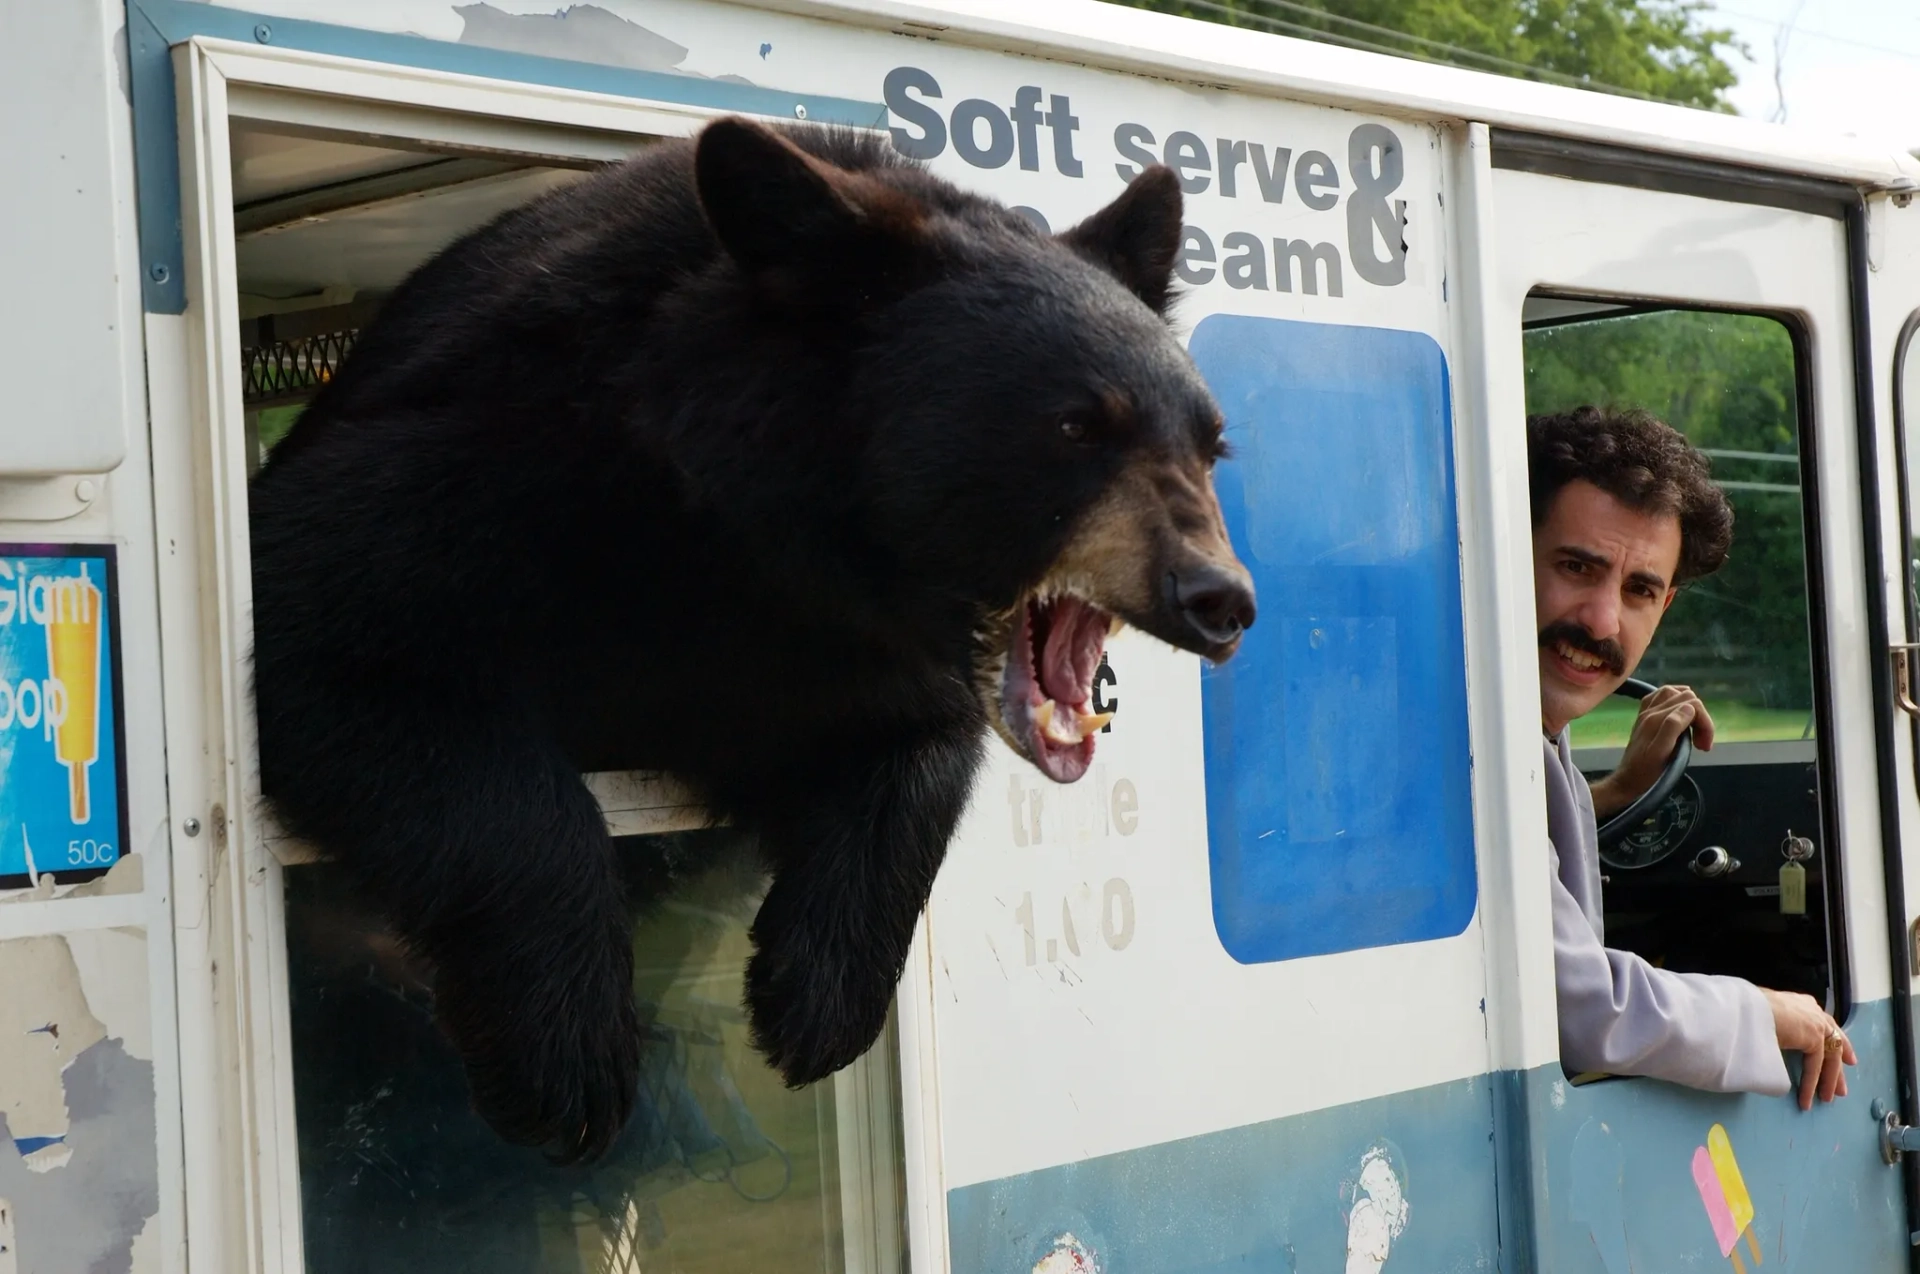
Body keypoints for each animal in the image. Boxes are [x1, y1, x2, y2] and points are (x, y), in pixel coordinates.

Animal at [247, 119, 1251, 1166]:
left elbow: (914, 752)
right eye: (1076, 424)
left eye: (1211, 443)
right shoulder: (490, 466)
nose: (1217, 597)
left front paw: (815, 1000)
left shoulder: (841, 650)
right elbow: (342, 647)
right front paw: (566, 1057)